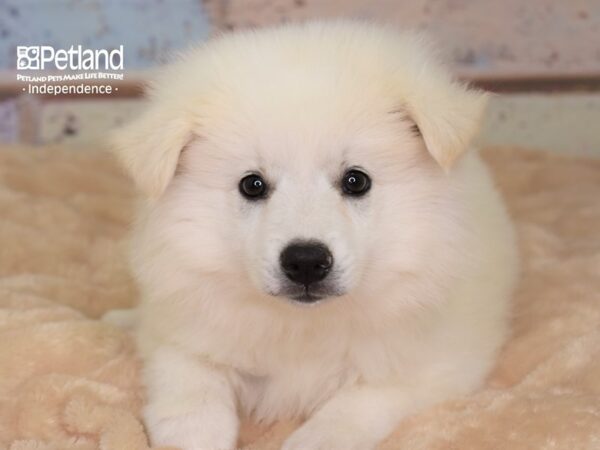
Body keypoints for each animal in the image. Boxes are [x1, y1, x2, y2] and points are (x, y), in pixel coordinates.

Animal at [109, 20, 520, 450]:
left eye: (356, 181)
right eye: (252, 185)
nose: (305, 262)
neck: (302, 325)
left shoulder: (436, 365)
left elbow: (354, 405)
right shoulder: (179, 331)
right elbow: (192, 391)